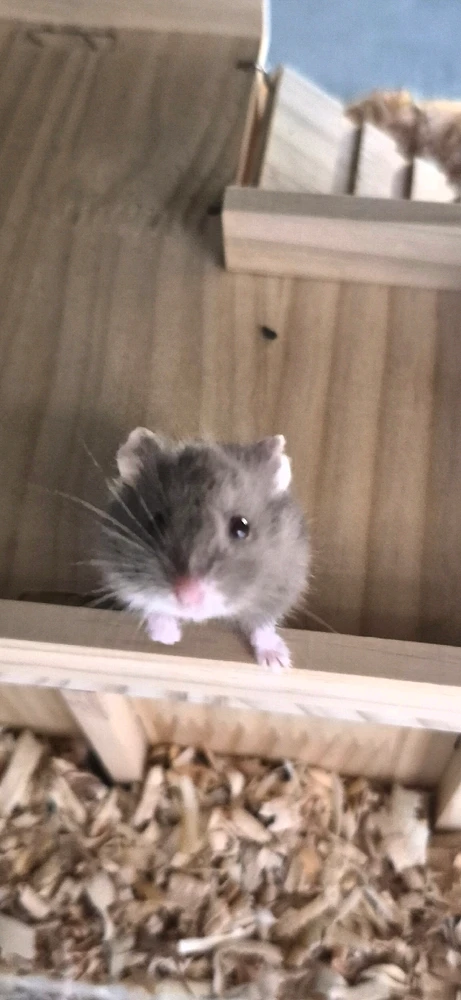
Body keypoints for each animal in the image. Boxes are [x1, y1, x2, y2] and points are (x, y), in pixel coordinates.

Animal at [99, 428, 309, 671]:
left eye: (241, 527)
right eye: (155, 522)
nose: (188, 597)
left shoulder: (283, 585)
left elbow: (262, 624)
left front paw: (277, 664)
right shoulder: (119, 575)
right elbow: (150, 605)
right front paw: (167, 638)